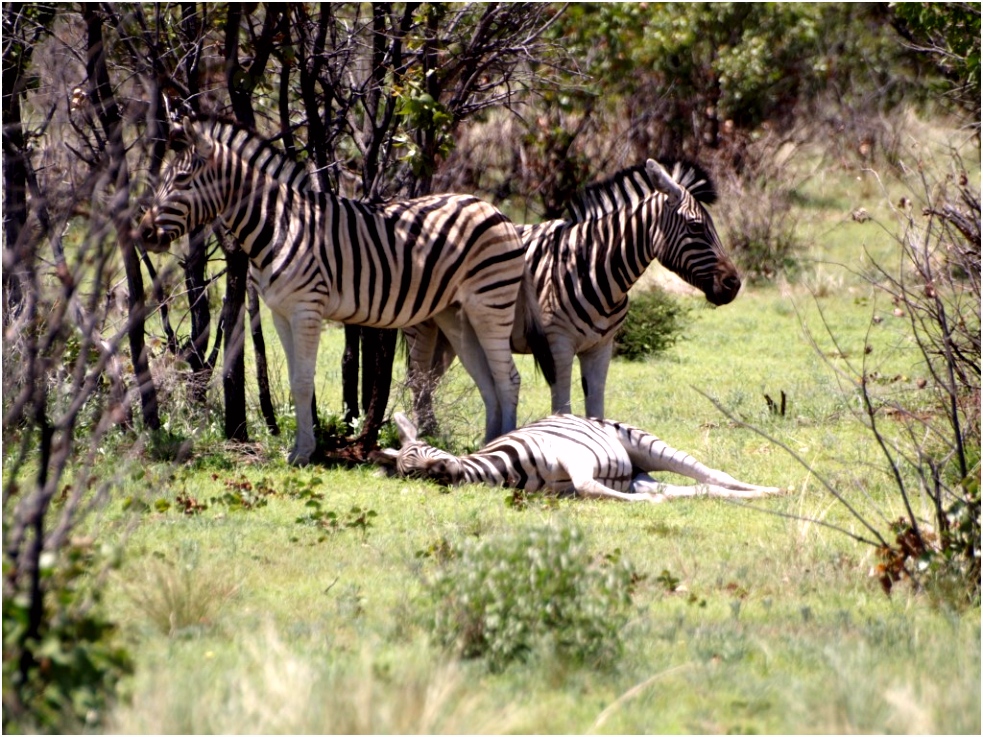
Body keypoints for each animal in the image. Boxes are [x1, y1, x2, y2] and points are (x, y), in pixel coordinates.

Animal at [138, 117, 554, 465]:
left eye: (182, 179)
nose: (143, 233)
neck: (279, 226)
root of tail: (497, 212)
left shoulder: (307, 308)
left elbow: (303, 382)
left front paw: (303, 453)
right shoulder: (280, 312)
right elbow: (296, 380)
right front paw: (300, 448)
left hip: (491, 302)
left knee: (508, 378)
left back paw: (500, 448)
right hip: (455, 313)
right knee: (488, 380)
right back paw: (487, 446)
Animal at [405, 158, 740, 431]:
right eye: (696, 227)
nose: (734, 284)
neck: (592, 265)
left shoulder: (601, 348)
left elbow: (597, 410)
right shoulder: (559, 345)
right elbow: (562, 406)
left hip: (451, 333)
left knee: (430, 379)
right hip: (422, 324)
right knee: (416, 377)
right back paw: (428, 435)